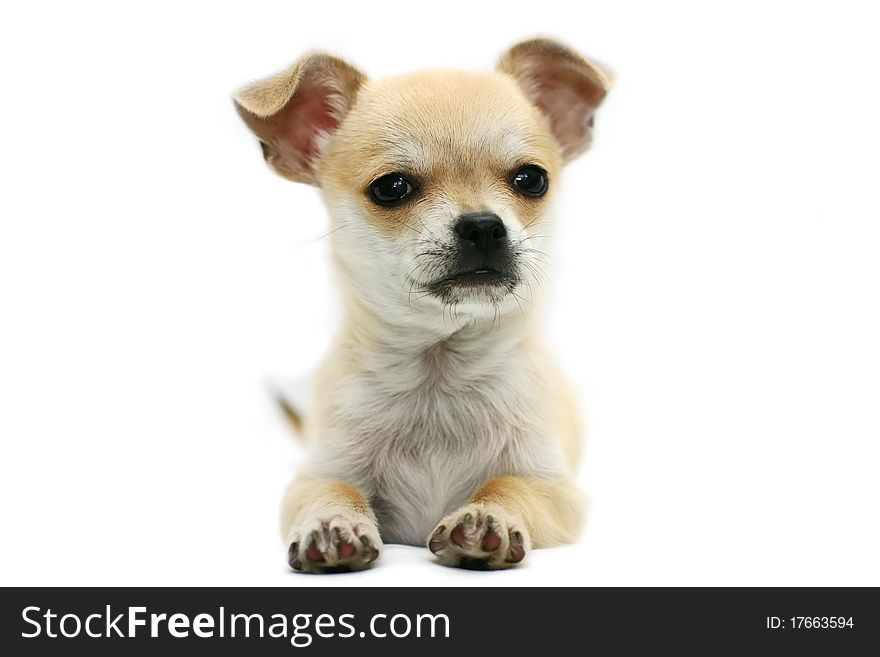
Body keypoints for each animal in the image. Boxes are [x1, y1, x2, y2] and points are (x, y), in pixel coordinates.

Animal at [234, 38, 604, 568]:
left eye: (532, 180)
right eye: (392, 188)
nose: (483, 226)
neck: (438, 372)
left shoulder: (556, 490)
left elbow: (509, 485)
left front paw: (487, 517)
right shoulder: (316, 475)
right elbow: (334, 489)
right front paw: (333, 524)